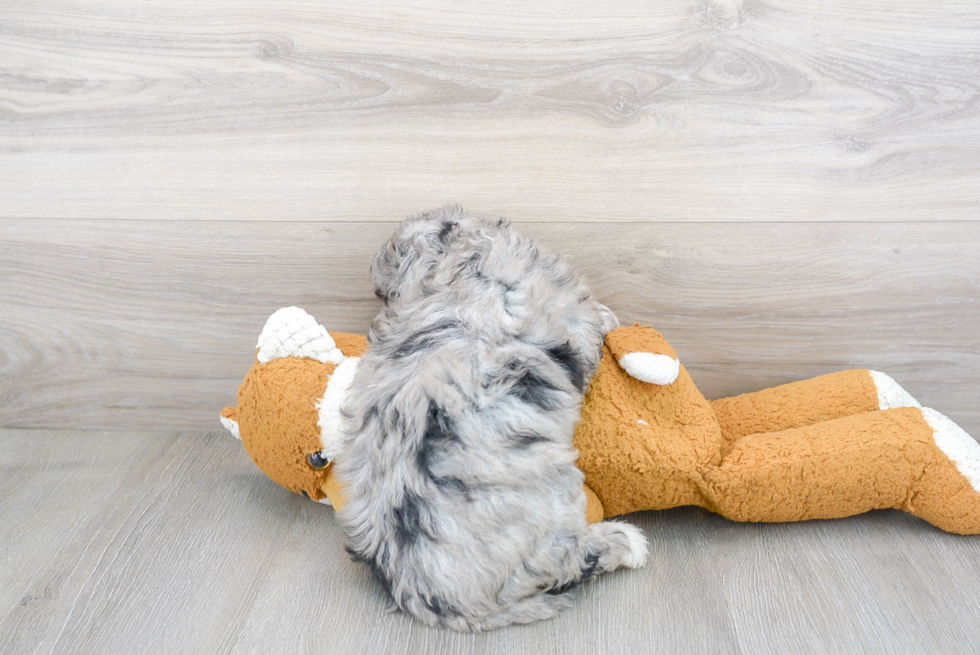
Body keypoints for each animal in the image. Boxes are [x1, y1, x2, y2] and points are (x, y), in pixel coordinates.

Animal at [336, 208, 652, 632]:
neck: (454, 273)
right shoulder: (567, 318)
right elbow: (591, 326)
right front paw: (608, 317)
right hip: (549, 505)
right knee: (567, 561)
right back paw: (625, 542)